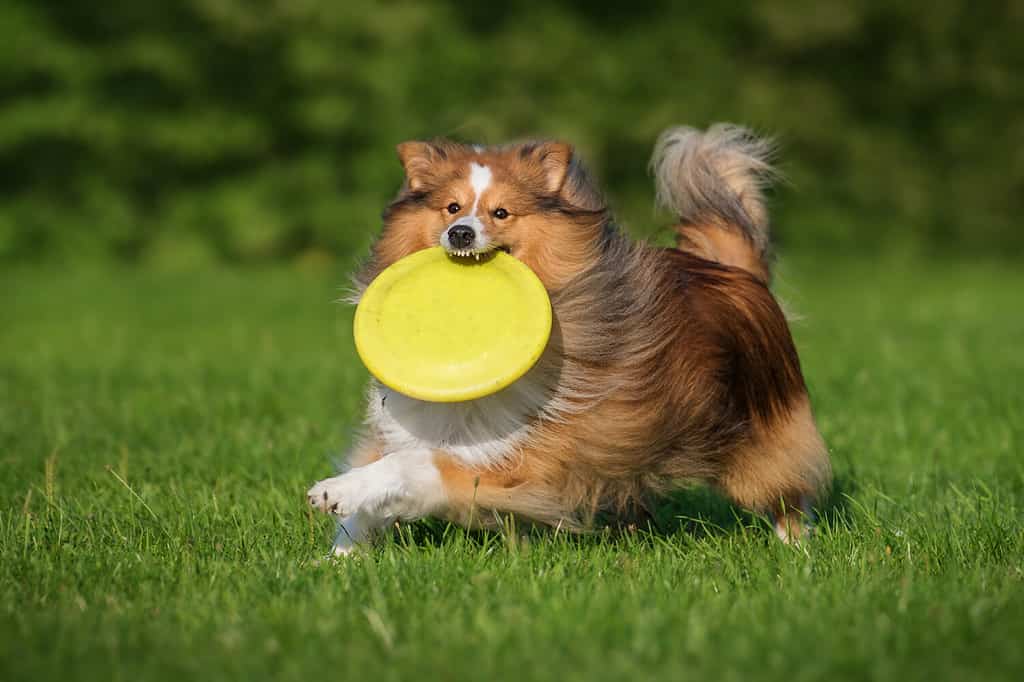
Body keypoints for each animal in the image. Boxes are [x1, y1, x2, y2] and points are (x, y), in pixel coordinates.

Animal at [307, 123, 827, 552]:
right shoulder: (408, 423)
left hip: (759, 436)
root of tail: (739, 274)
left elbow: (413, 465)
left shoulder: (525, 459)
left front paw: (335, 490)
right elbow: (380, 474)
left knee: (789, 490)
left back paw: (794, 548)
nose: (460, 233)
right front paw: (340, 555)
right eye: (451, 207)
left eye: (501, 213)